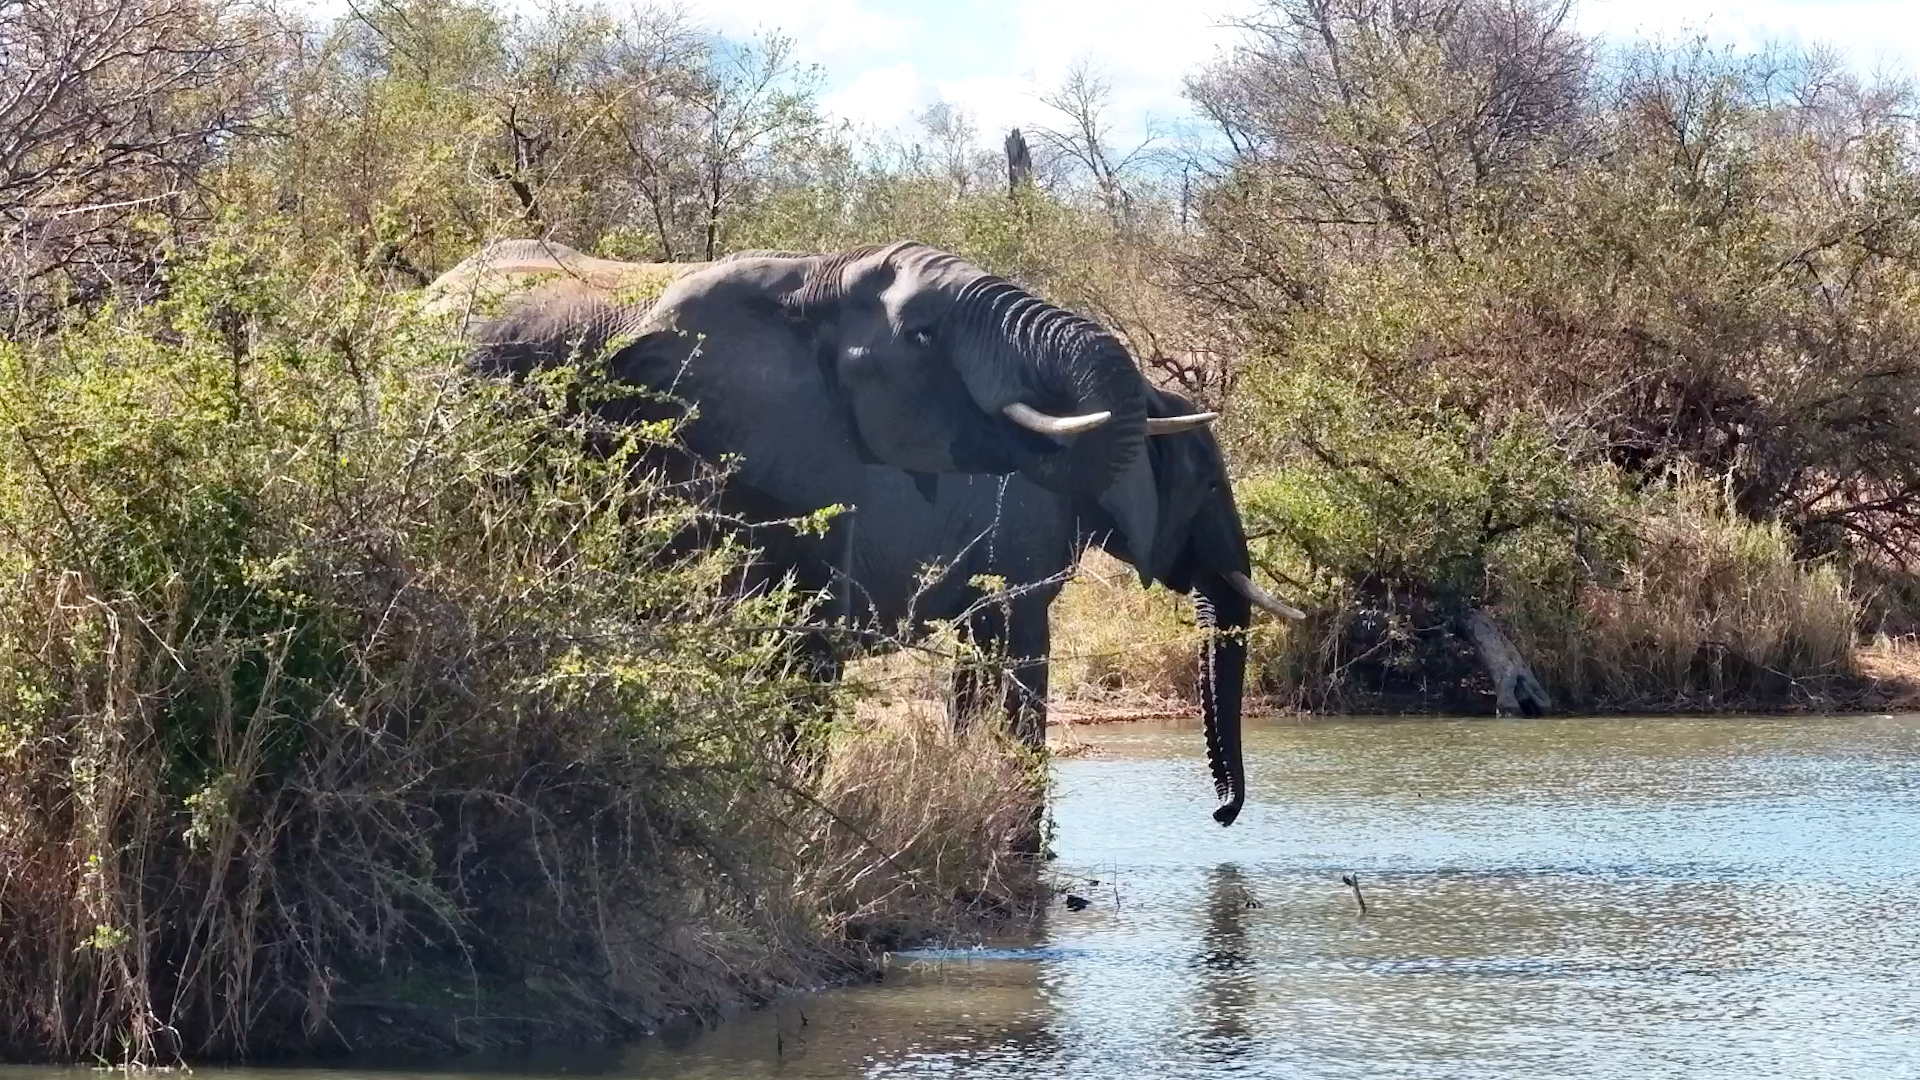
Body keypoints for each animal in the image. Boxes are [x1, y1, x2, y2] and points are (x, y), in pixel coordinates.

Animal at [766, 387, 1303, 827]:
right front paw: (1026, 843)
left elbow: (972, 664)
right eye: (1211, 485)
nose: (1220, 814)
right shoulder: (1027, 531)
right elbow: (1026, 649)